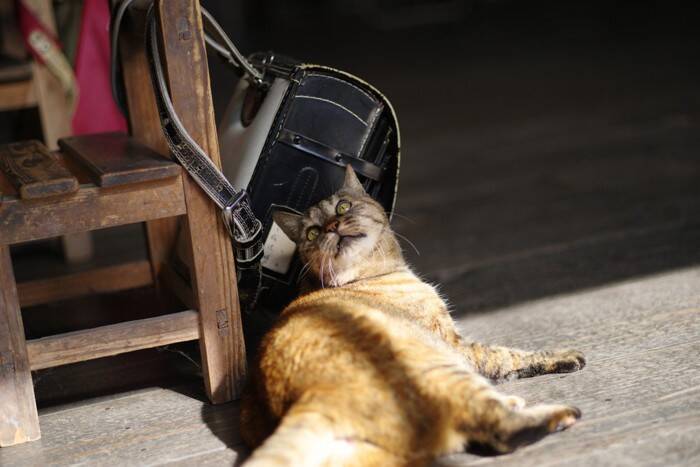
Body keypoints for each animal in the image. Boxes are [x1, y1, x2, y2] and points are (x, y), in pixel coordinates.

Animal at [240, 166, 586, 467]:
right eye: (312, 233)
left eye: (342, 207)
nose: (330, 228)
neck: (366, 276)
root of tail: (306, 398)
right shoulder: (454, 343)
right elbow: (507, 355)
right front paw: (566, 355)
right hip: (441, 369)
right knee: (500, 430)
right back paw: (561, 414)